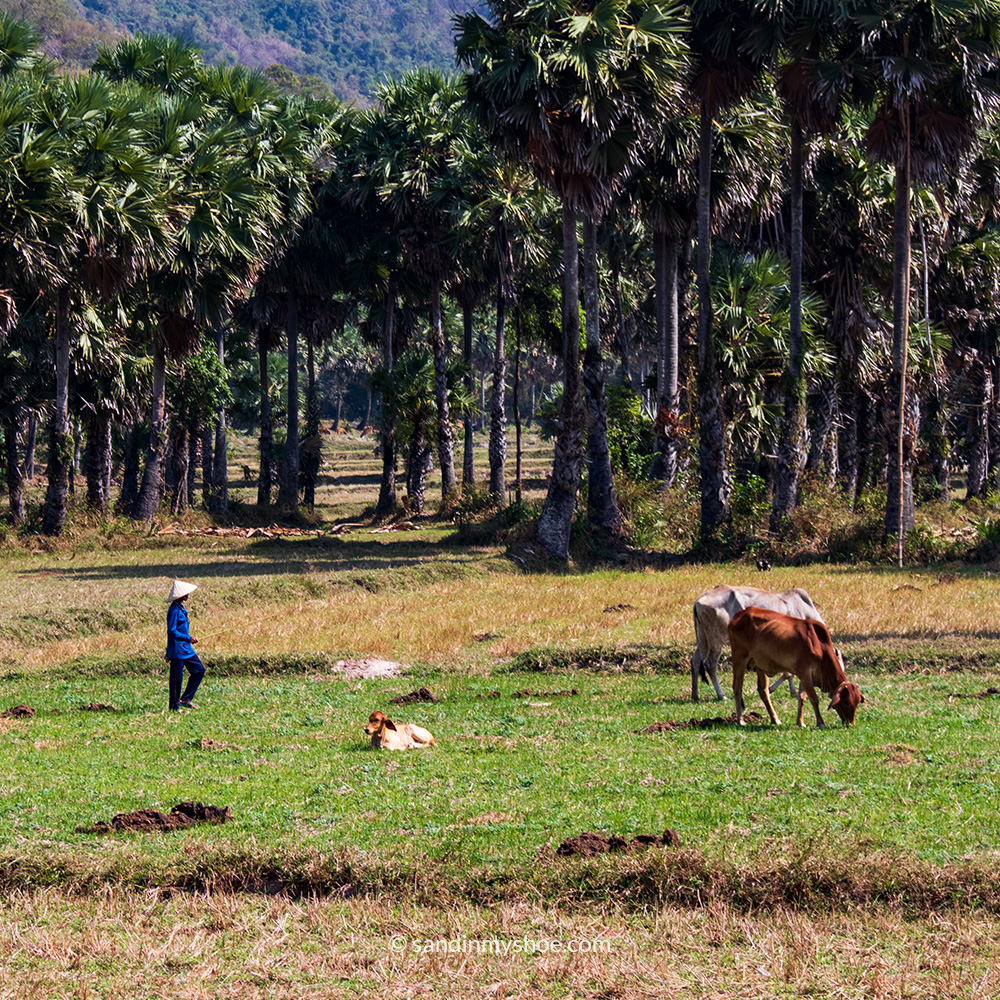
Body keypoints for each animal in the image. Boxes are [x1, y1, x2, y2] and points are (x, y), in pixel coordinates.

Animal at [691, 585, 824, 702]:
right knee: (710, 664)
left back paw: (695, 695)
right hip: (717, 639)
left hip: (703, 638)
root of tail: (698, 600)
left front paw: (792, 692)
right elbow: (788, 672)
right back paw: (721, 695)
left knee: (696, 661)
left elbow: (789, 672)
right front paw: (772, 689)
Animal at [727, 607, 863, 727]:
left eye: (857, 702)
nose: (851, 724)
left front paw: (800, 722)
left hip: (760, 665)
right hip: (739, 659)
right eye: (846, 702)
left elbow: (802, 698)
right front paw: (820, 723)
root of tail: (740, 614)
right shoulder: (804, 673)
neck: (819, 646)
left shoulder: (806, 676)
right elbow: (814, 698)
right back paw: (740, 720)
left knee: (763, 690)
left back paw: (775, 720)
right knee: (737, 688)